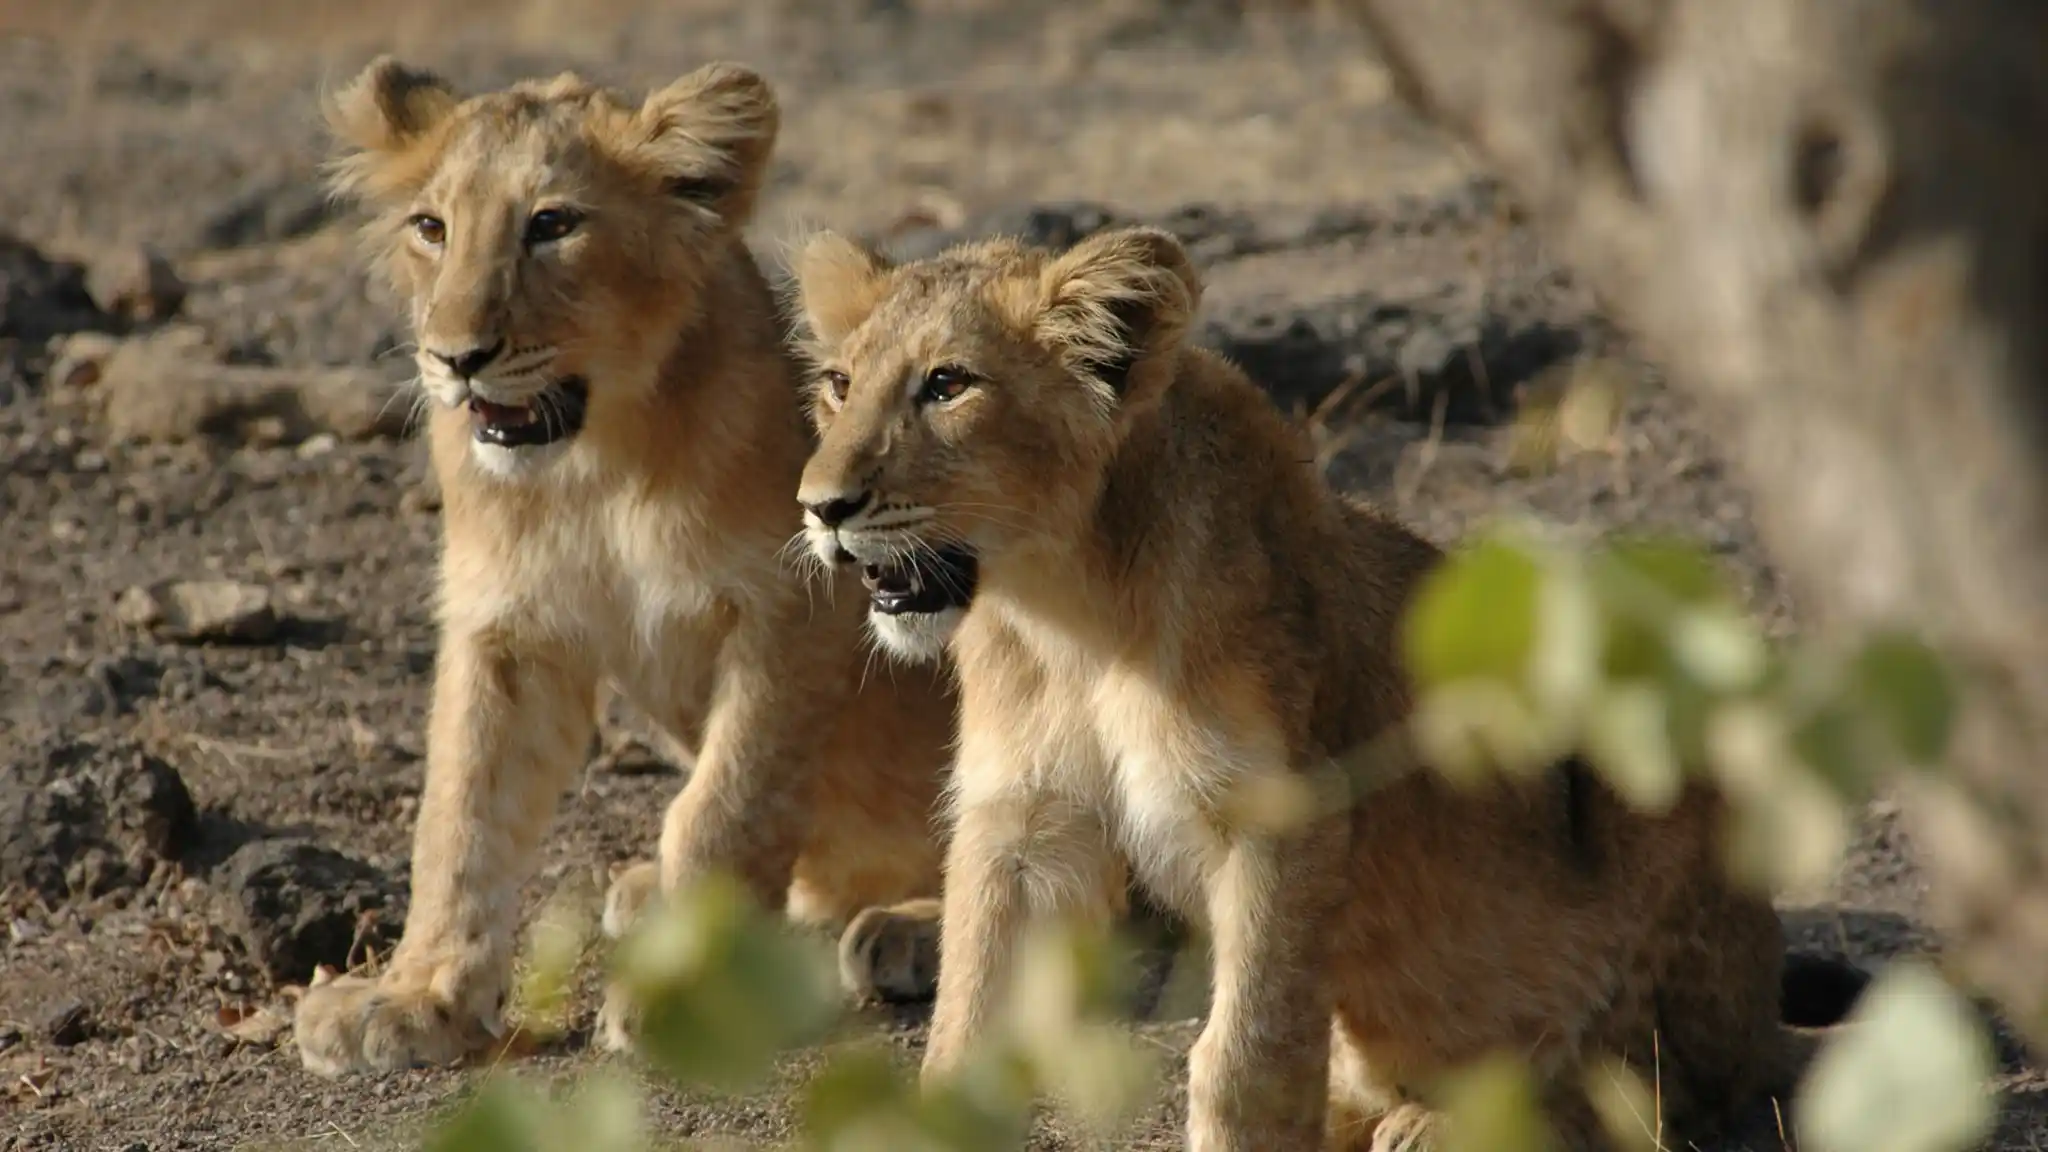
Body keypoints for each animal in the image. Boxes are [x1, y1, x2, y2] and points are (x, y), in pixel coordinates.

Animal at [291, 57, 957, 1076]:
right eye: (431, 227)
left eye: (553, 224)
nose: (456, 357)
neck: (596, 470)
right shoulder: (506, 628)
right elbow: (460, 814)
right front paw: (415, 997)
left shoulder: (795, 611)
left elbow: (729, 805)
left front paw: (690, 992)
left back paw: (911, 929)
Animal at [791, 225, 1860, 1151]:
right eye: (838, 385)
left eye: (948, 384)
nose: (821, 507)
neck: (1068, 616)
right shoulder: (1022, 821)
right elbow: (969, 1022)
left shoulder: (1281, 817)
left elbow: (1245, 1057)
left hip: (1648, 762)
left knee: (1656, 1093)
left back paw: (1444, 1125)